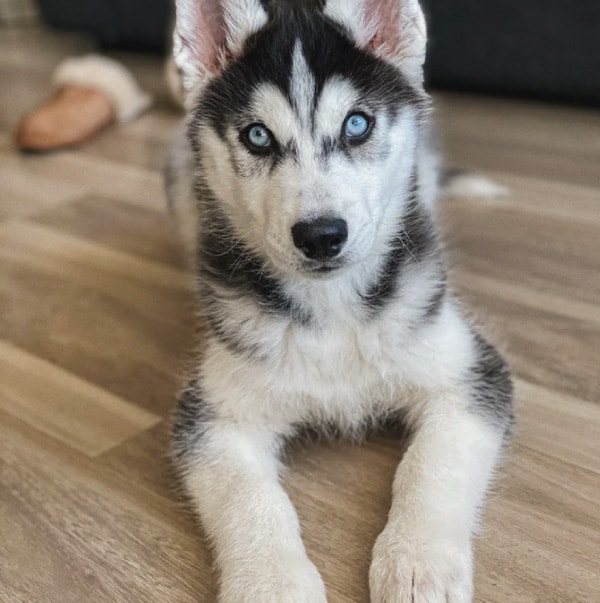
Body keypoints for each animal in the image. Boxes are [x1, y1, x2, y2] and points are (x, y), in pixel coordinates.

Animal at [166, 1, 512, 603]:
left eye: (357, 124)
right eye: (257, 136)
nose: (321, 235)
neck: (331, 309)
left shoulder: (468, 374)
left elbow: (431, 463)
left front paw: (416, 562)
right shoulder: (214, 416)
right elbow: (248, 498)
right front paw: (273, 583)